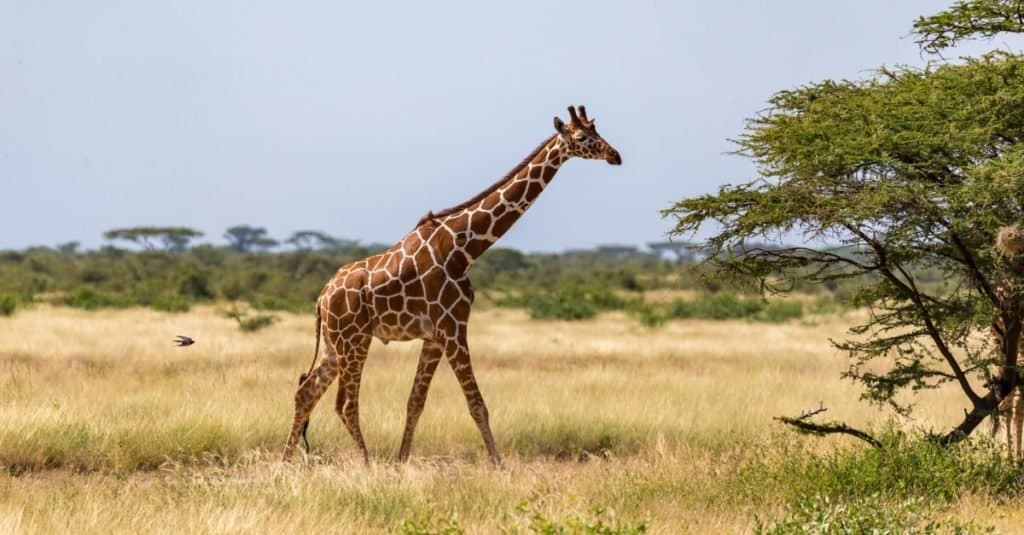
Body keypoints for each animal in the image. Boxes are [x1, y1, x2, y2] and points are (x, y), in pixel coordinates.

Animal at [282, 105, 622, 461]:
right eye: (582, 137)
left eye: (597, 130)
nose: (615, 155)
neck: (465, 247)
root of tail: (321, 297)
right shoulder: (454, 327)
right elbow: (477, 405)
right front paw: (498, 464)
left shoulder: (434, 336)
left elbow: (415, 403)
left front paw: (402, 461)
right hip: (354, 340)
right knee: (345, 404)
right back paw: (366, 463)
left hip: (334, 344)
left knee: (306, 392)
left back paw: (286, 462)